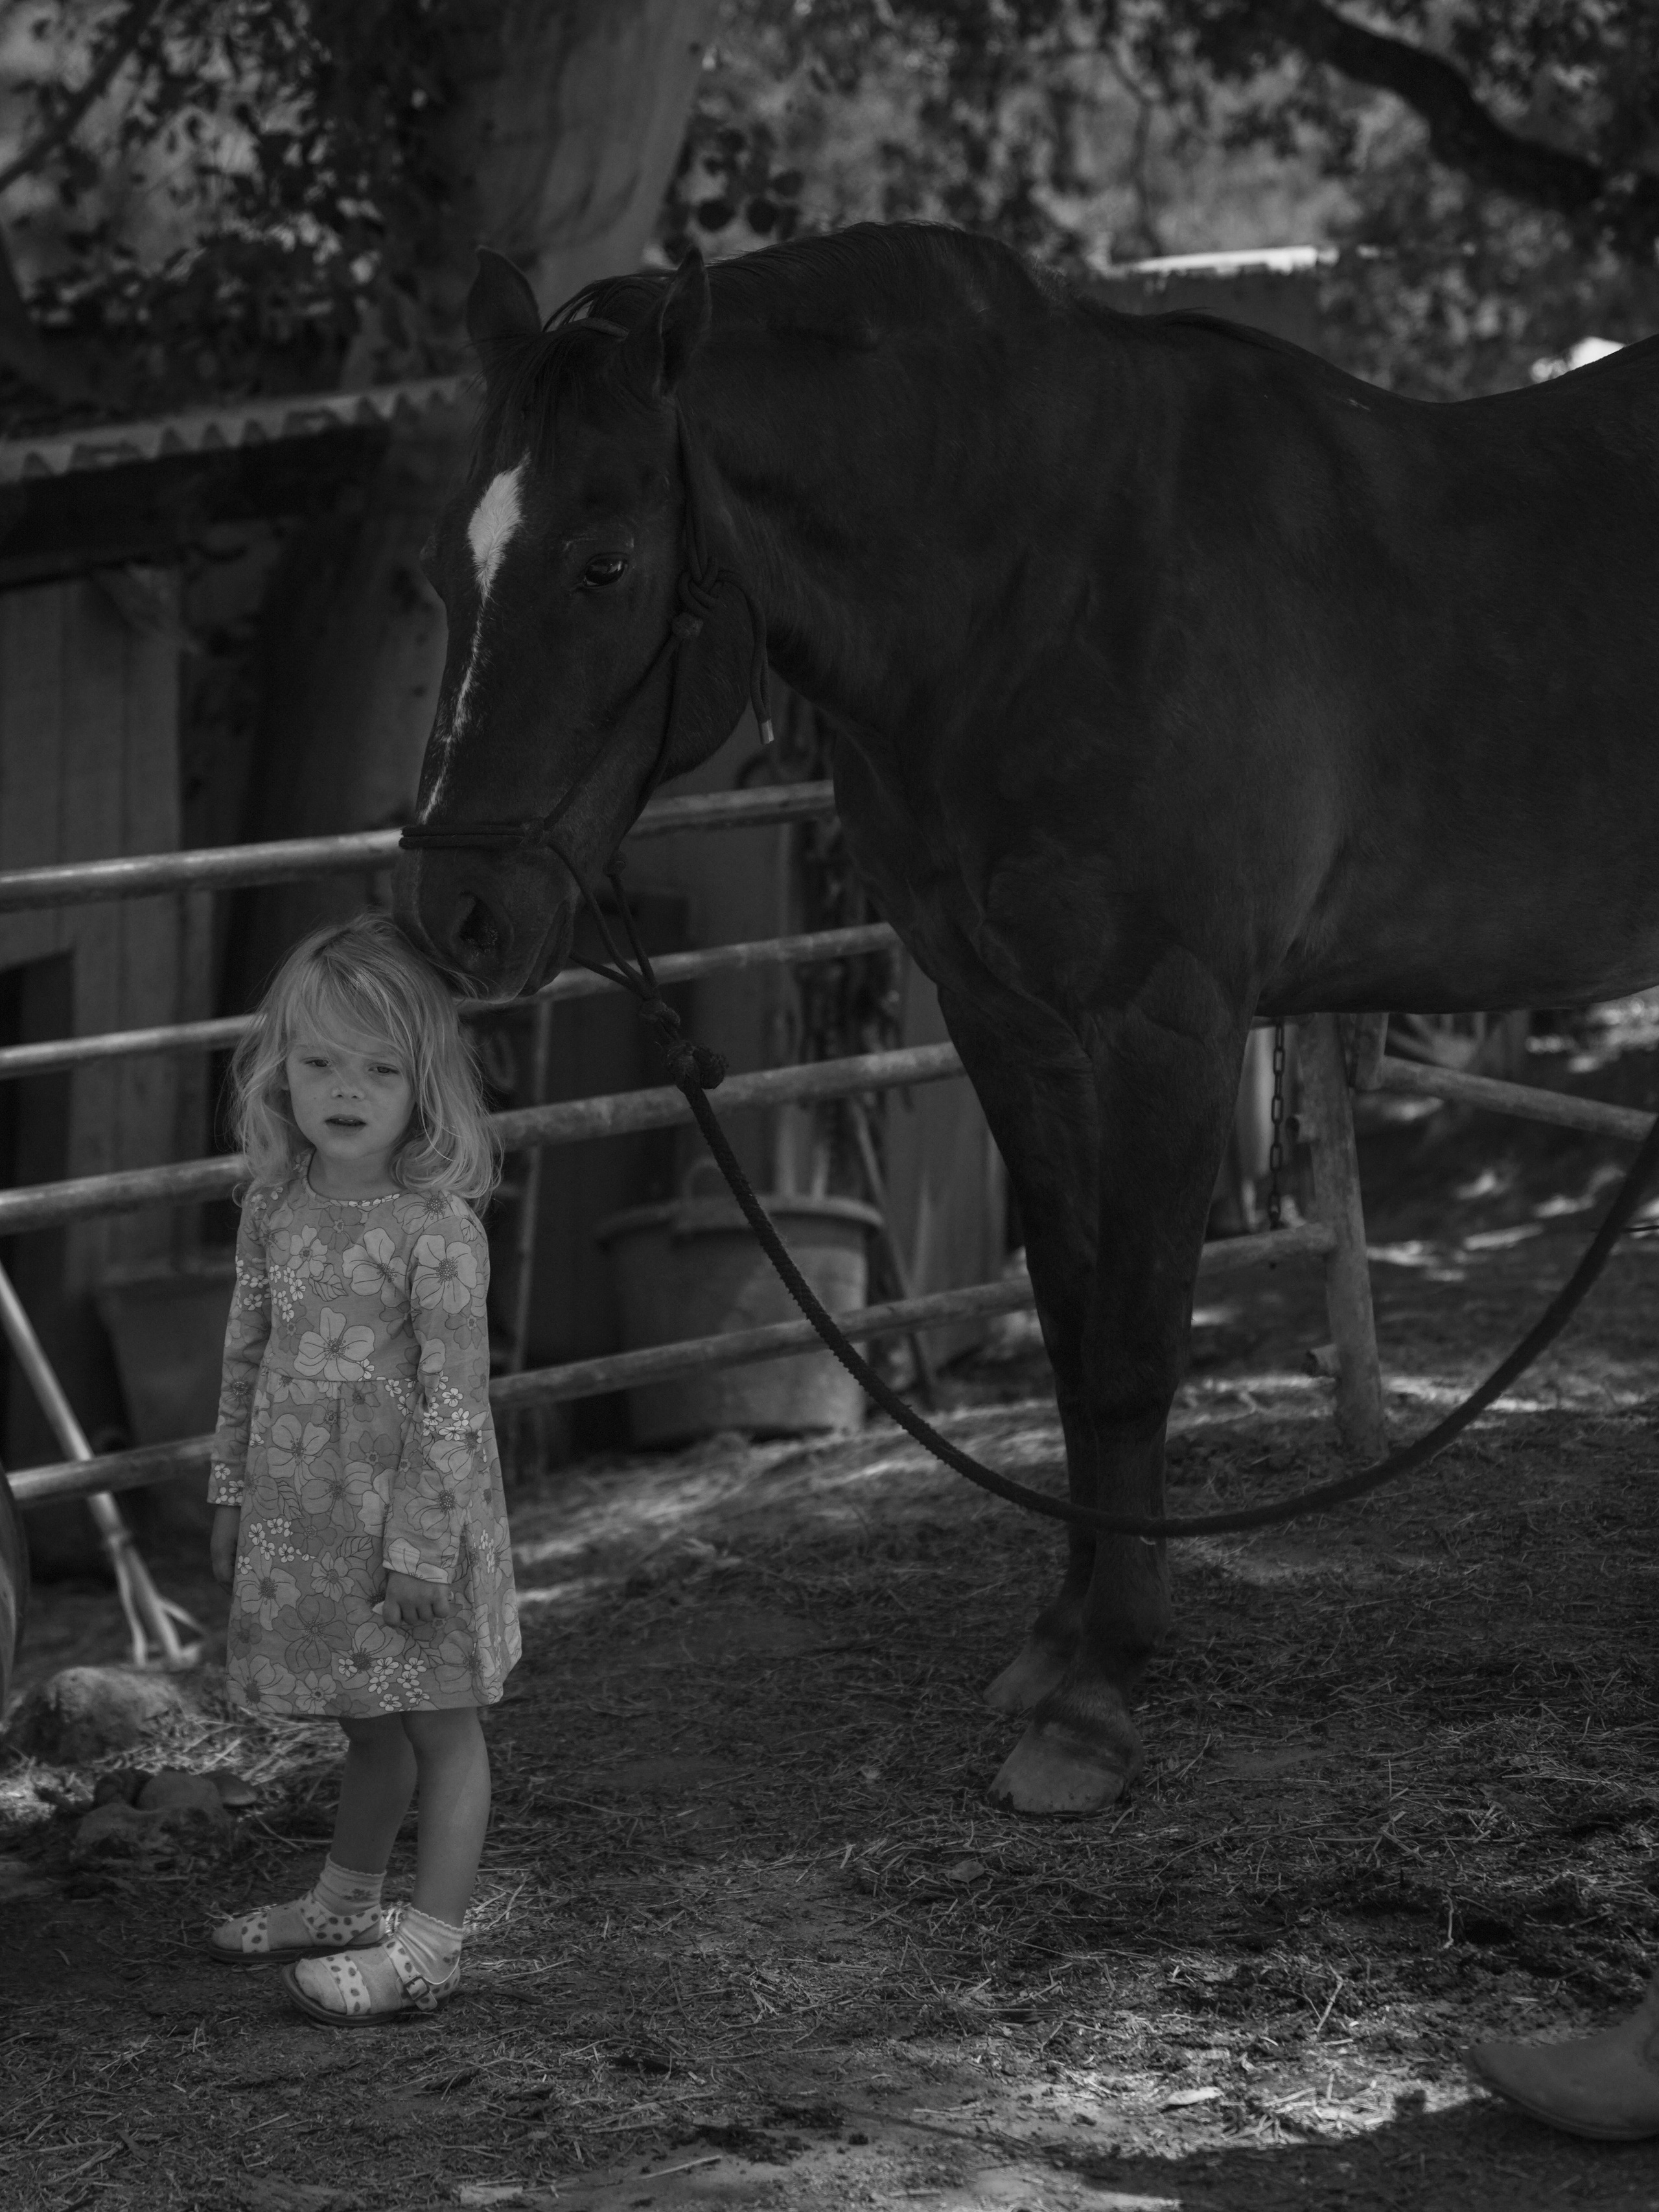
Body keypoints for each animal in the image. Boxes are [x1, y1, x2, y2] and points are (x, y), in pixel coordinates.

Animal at [394, 222, 1659, 1815]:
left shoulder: (1169, 1030)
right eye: (445, 564)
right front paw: (1059, 1639)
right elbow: (1064, 1326)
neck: (1043, 591)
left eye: (604, 561)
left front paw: (1101, 1694)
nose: (456, 913)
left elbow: (1131, 1346)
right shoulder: (1011, 1028)